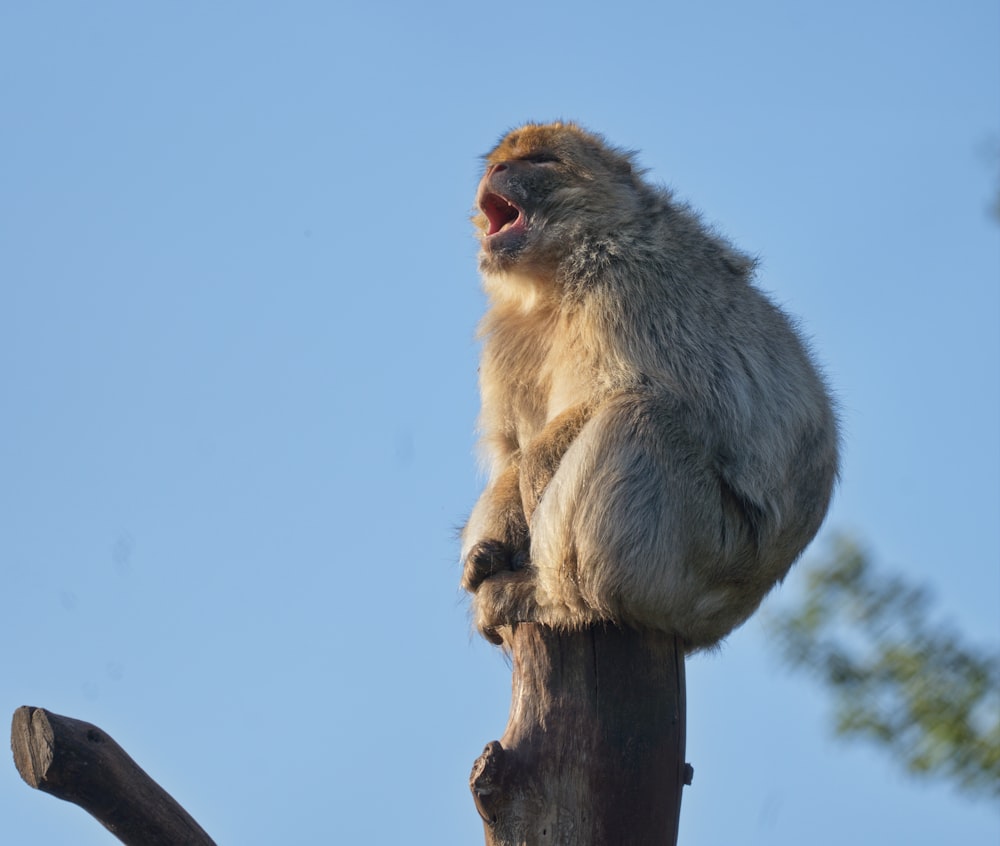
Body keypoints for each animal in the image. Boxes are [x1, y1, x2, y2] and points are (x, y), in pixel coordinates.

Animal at [460, 122, 836, 656]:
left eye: (541, 160)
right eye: (499, 162)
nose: (498, 170)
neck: (554, 283)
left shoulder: (626, 282)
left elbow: (638, 388)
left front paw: (535, 473)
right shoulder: (507, 339)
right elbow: (509, 452)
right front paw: (499, 531)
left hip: (704, 557)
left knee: (641, 417)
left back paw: (556, 598)